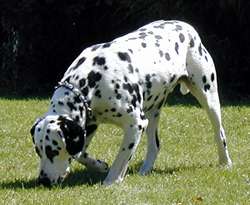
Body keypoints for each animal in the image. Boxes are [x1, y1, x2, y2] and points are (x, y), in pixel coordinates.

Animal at [29, 20, 232, 187]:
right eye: (38, 151)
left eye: (53, 151)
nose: (42, 181)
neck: (92, 79)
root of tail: (187, 27)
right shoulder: (90, 124)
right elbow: (80, 155)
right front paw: (100, 165)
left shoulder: (135, 124)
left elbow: (122, 157)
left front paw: (112, 180)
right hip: (153, 111)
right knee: (155, 145)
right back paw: (145, 170)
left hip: (208, 98)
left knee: (219, 132)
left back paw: (225, 162)